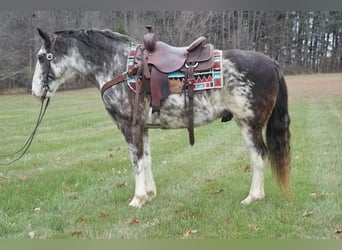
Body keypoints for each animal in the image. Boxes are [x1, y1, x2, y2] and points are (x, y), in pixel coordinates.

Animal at [31, 27, 292, 207]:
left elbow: (135, 162)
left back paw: (253, 197)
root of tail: (271, 62)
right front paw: (149, 194)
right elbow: (146, 159)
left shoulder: (129, 127)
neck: (118, 66)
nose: (35, 91)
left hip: (249, 124)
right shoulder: (142, 127)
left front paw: (137, 199)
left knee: (258, 156)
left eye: (42, 57)